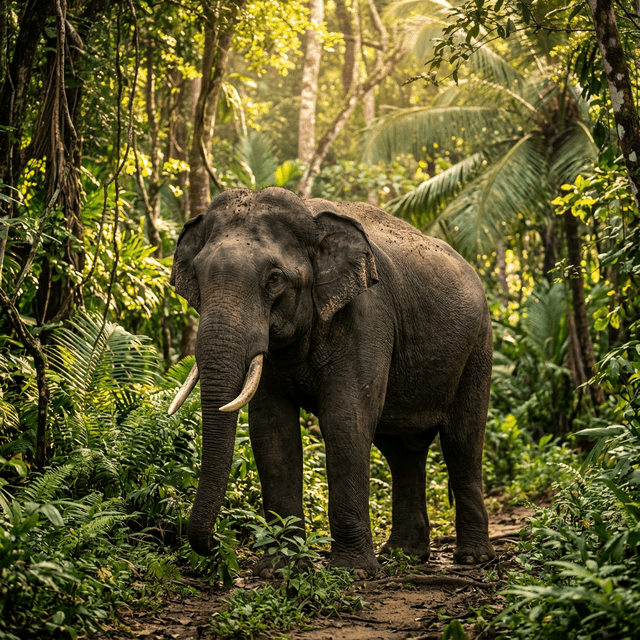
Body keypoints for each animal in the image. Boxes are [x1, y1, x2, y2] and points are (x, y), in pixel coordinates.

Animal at [168, 186, 495, 576]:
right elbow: (271, 430)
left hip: (477, 347)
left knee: (462, 441)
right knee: (401, 452)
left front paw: (352, 572)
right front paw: (279, 570)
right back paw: (403, 555)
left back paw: (472, 558)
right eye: (198, 276)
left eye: (274, 278)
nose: (216, 546)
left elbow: (345, 421)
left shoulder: (368, 316)